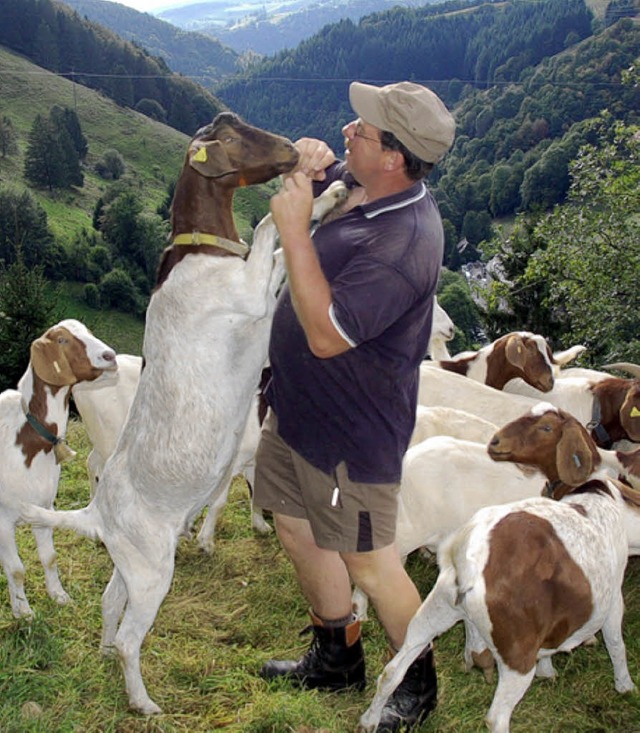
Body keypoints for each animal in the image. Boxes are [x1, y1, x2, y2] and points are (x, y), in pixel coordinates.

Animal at [0, 320, 116, 616]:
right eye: (62, 340)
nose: (110, 356)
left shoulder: (43, 507)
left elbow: (49, 557)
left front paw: (59, 595)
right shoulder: (3, 517)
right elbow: (16, 569)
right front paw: (23, 612)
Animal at [21, 114, 350, 716]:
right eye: (235, 137)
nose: (294, 152)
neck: (202, 254)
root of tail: (97, 515)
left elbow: (277, 247)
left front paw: (331, 197)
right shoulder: (251, 295)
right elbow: (269, 230)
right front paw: (310, 199)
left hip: (130, 564)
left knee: (110, 603)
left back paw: (104, 653)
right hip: (154, 571)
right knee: (133, 636)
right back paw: (142, 702)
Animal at [360, 400, 636, 732]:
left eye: (546, 427)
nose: (495, 442)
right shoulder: (610, 593)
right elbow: (615, 640)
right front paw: (625, 685)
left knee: (393, 667)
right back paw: (360, 614)